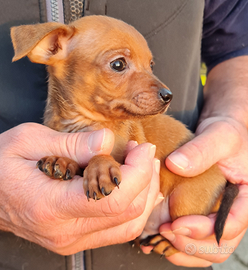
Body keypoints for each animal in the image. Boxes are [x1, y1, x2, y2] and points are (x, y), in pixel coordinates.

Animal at [10, 15, 237, 256]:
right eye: (118, 64)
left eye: (151, 65)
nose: (168, 95)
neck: (83, 122)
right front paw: (60, 161)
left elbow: (102, 156)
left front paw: (100, 168)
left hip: (184, 203)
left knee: (184, 239)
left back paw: (166, 243)